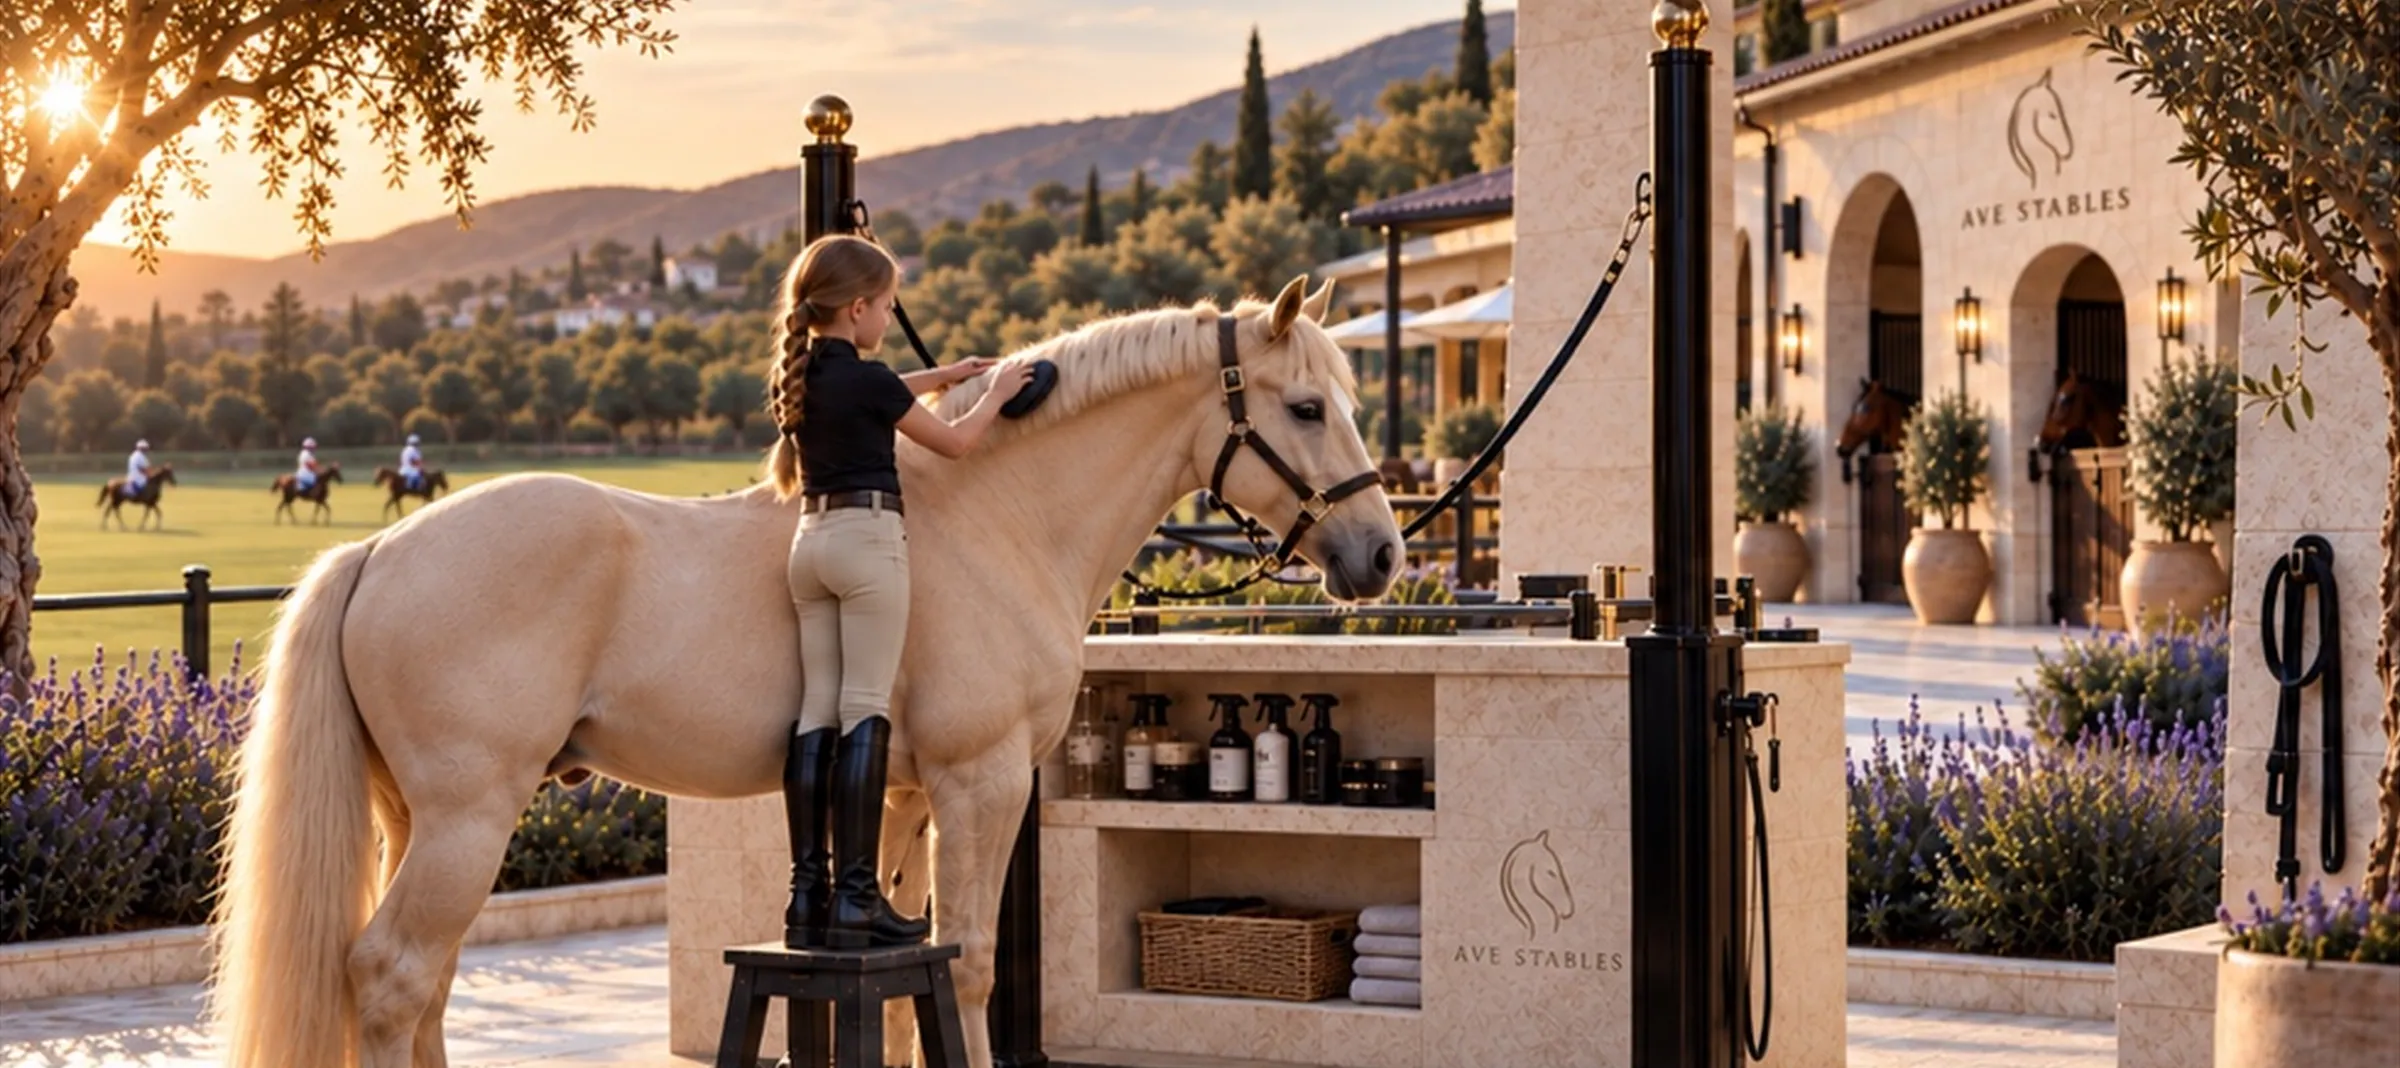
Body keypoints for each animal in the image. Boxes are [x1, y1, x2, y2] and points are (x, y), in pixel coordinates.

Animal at [207, 277, 1402, 1068]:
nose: (1383, 555)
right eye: (1306, 408)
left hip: (418, 820)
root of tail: (378, 551)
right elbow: (971, 959)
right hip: (468, 819)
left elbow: (909, 958)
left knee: (427, 986)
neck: (995, 517)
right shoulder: (982, 783)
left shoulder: (906, 796)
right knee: (394, 975)